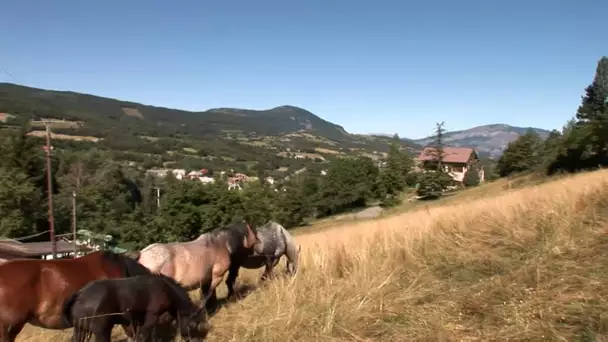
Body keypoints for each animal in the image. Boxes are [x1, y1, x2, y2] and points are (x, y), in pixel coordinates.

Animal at [61, 272, 209, 342]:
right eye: (194, 325)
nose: (197, 340)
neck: (166, 289)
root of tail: (80, 294)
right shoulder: (151, 316)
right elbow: (144, 336)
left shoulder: (137, 320)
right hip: (101, 331)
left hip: (80, 329)